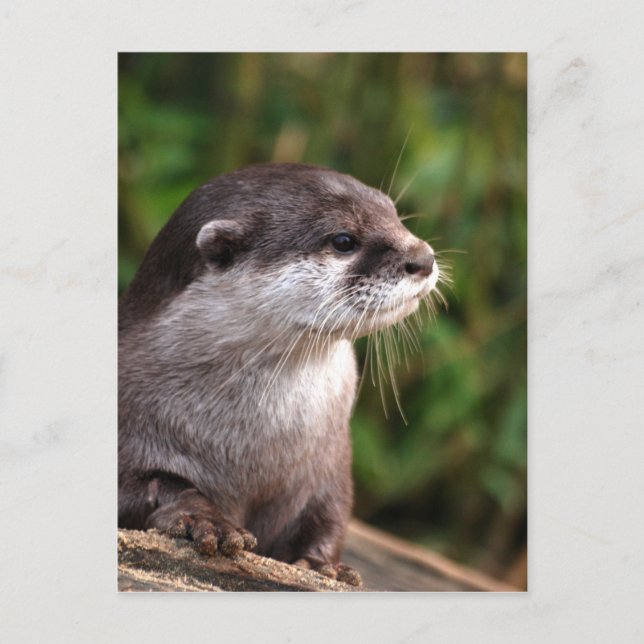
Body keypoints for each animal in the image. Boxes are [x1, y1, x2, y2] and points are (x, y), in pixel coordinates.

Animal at [118, 163, 439, 586]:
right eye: (343, 240)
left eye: (394, 214)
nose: (424, 257)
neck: (252, 450)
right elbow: (156, 485)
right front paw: (206, 520)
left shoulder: (330, 462)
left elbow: (330, 515)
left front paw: (320, 565)